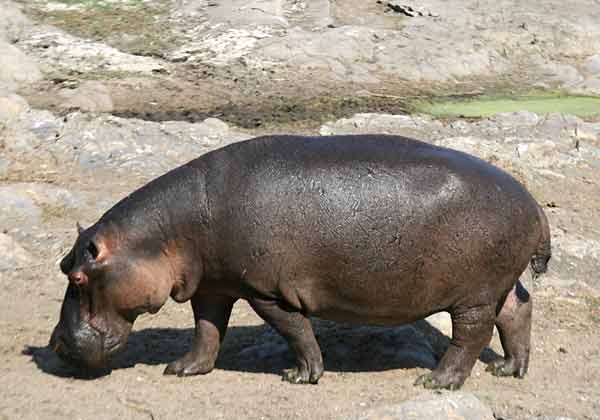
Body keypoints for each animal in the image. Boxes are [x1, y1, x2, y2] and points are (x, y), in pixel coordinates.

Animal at [49, 135, 552, 390]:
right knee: (517, 311)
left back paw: (436, 382)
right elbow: (206, 329)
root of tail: (535, 203)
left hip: (473, 294)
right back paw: (510, 369)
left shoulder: (266, 291)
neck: (165, 234)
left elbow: (295, 332)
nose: (55, 345)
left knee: (471, 334)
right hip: (500, 284)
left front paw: (300, 376)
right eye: (61, 265)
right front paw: (182, 369)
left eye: (79, 276)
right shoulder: (214, 285)